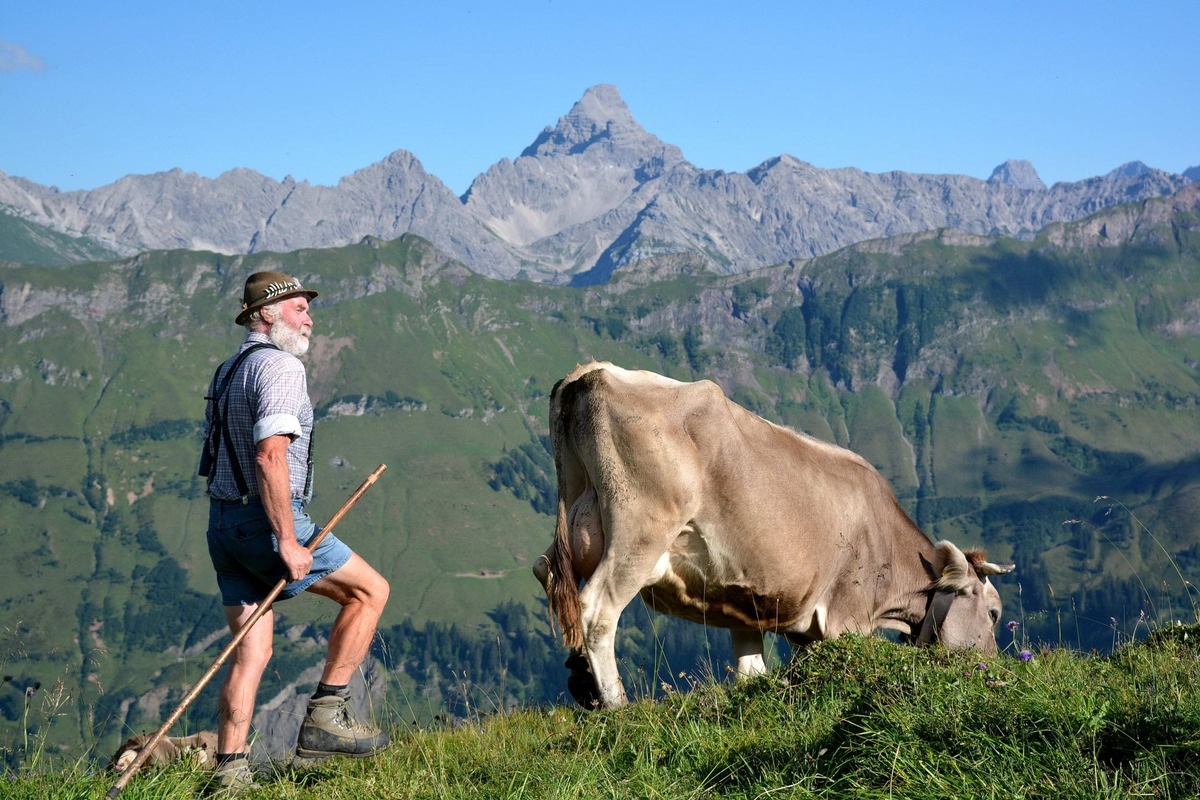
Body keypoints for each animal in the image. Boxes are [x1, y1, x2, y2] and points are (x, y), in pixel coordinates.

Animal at [535, 362, 1012, 705]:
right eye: (993, 614)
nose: (994, 667)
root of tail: (590, 373)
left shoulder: (745, 609)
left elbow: (751, 672)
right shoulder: (847, 617)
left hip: (578, 519)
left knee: (549, 575)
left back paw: (581, 679)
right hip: (640, 531)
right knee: (596, 610)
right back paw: (616, 704)